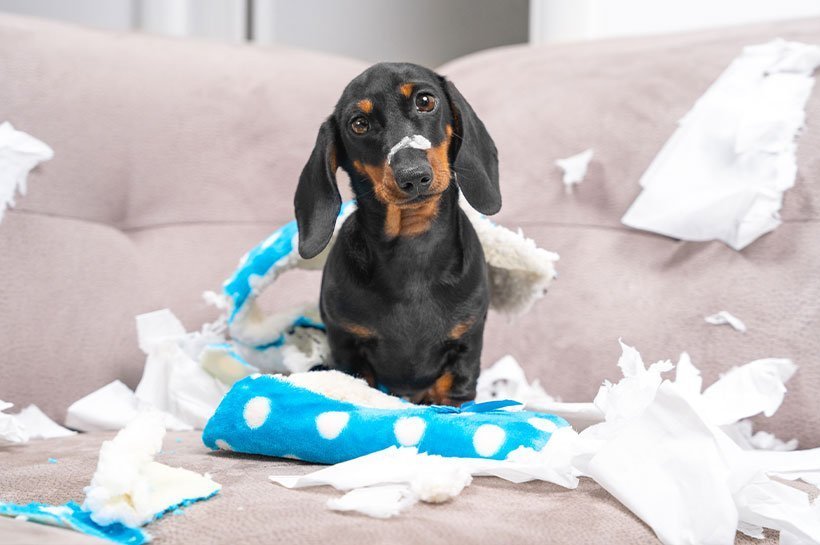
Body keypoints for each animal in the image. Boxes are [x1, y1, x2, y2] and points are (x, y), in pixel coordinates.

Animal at [294, 62, 500, 404]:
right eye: (359, 124)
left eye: (426, 101)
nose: (413, 176)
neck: (412, 248)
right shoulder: (347, 347)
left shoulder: (466, 348)